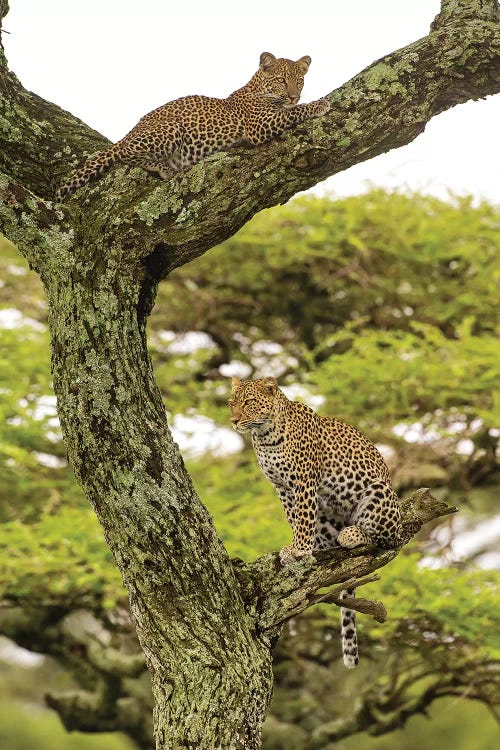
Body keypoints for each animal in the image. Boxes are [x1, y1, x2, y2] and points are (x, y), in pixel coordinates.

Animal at [55, 51, 328, 203]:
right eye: (281, 80)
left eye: (300, 81)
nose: (294, 96)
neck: (257, 88)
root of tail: (130, 131)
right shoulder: (260, 125)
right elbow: (292, 112)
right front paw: (321, 104)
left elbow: (290, 110)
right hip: (170, 129)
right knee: (128, 156)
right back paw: (164, 167)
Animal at [230, 376, 402, 668]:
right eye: (232, 403)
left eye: (249, 402)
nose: (233, 420)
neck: (264, 436)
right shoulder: (282, 488)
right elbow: (294, 517)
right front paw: (294, 548)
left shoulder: (304, 483)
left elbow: (302, 518)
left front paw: (300, 549)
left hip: (381, 494)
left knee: (388, 539)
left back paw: (353, 534)